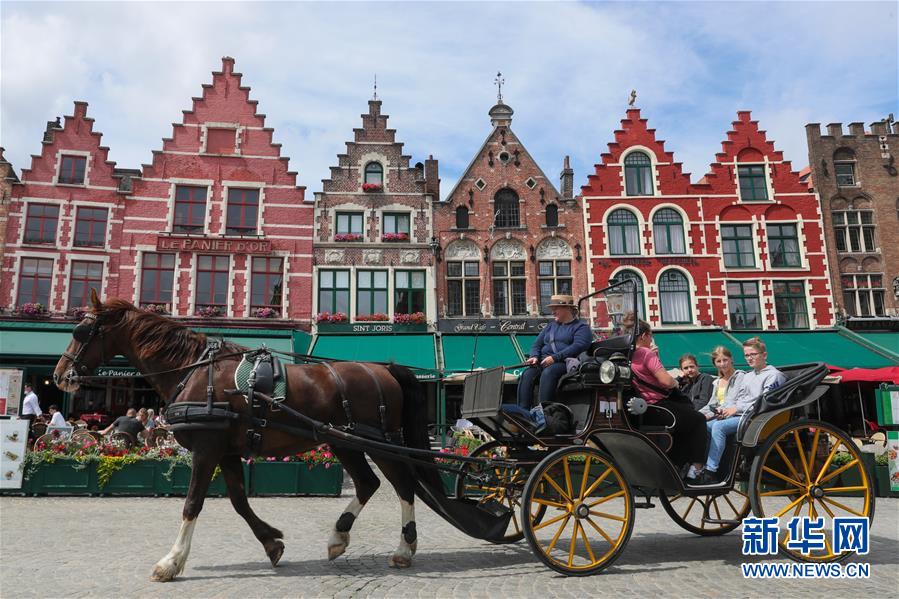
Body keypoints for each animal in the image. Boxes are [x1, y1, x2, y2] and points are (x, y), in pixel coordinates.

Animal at [53, 292, 440, 584]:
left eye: (82, 330)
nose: (59, 375)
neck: (193, 371)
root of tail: (385, 368)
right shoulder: (226, 452)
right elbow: (239, 500)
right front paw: (272, 544)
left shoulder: (206, 449)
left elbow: (192, 503)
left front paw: (171, 562)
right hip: (344, 442)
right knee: (368, 483)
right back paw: (338, 539)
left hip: (379, 443)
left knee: (403, 485)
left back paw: (402, 550)